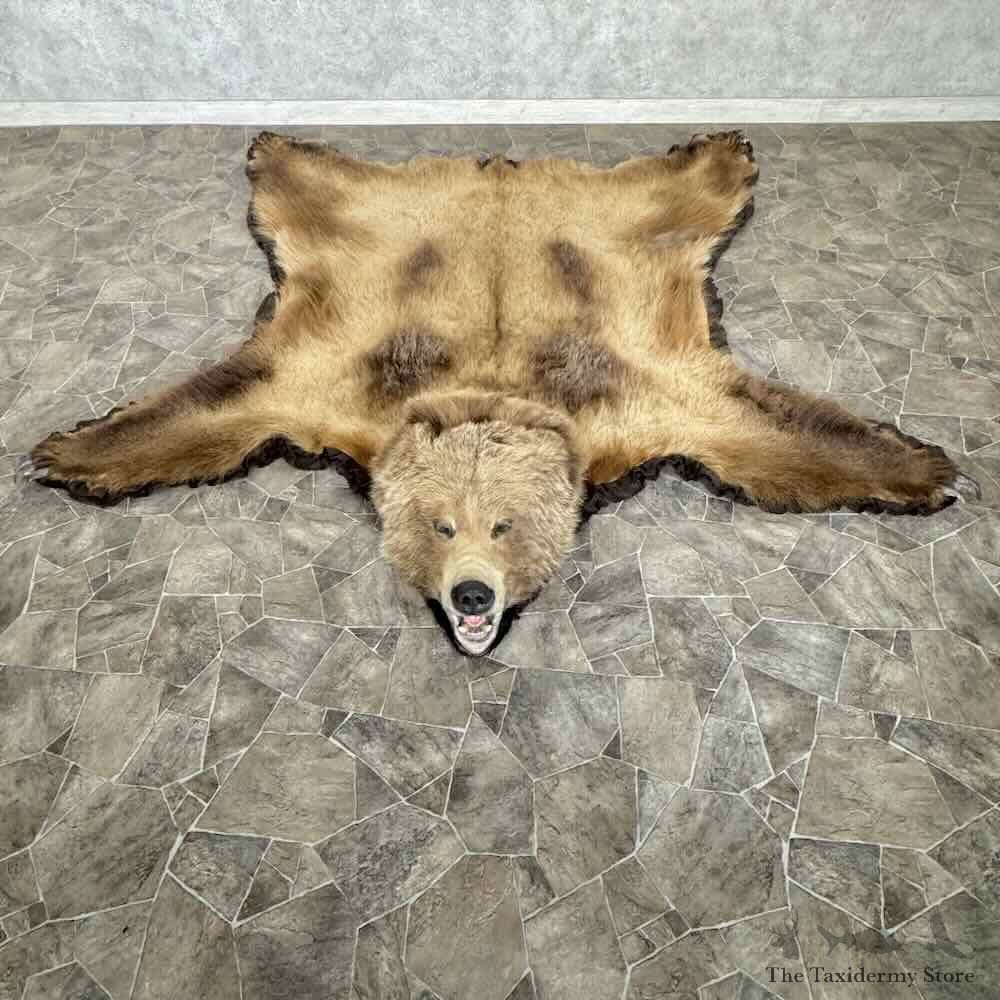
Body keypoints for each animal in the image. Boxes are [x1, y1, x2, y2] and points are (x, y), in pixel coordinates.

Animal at [29, 130, 970, 655]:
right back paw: (278, 151)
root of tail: (496, 167)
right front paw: (83, 450)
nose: (471, 598)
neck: (488, 387)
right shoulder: (318, 385)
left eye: (506, 528)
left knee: (675, 195)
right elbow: (212, 409)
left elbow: (779, 435)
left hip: (634, 223)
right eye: (438, 527)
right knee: (311, 189)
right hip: (355, 219)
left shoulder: (658, 398)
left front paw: (912, 469)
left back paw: (722, 152)